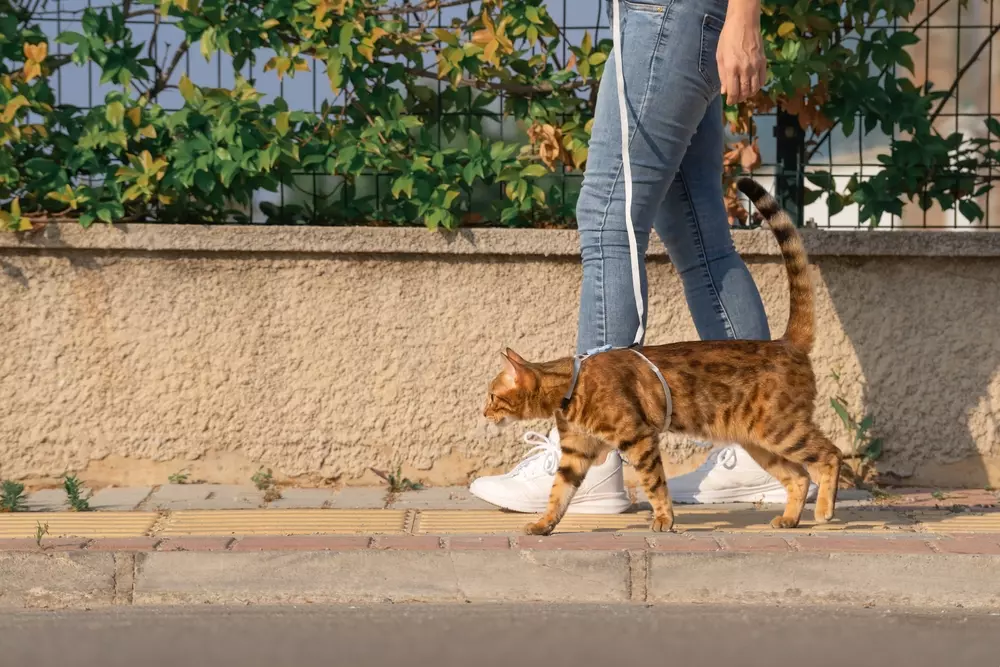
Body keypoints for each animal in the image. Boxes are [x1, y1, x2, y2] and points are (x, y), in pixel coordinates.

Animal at [480, 177, 840, 536]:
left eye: (493, 396)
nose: (483, 413)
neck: (573, 385)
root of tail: (786, 342)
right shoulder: (575, 452)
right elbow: (559, 493)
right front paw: (543, 524)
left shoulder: (638, 438)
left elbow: (654, 483)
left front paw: (664, 518)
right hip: (758, 440)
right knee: (798, 476)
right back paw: (790, 518)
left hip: (780, 428)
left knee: (831, 455)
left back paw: (824, 510)